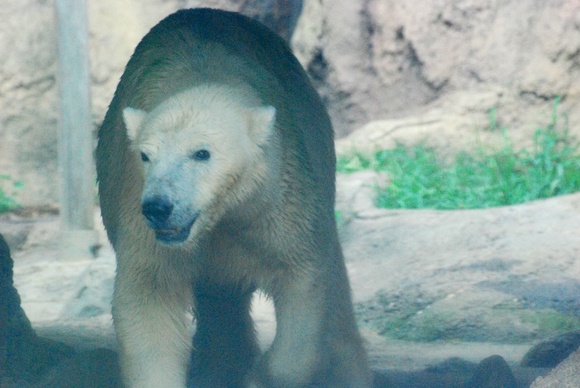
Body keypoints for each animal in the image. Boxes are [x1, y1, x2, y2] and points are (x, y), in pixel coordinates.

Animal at [95, 6, 372, 388]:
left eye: (201, 153)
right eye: (145, 155)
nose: (158, 207)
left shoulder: (278, 201)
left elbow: (302, 283)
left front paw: (260, 374)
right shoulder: (138, 212)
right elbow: (149, 298)